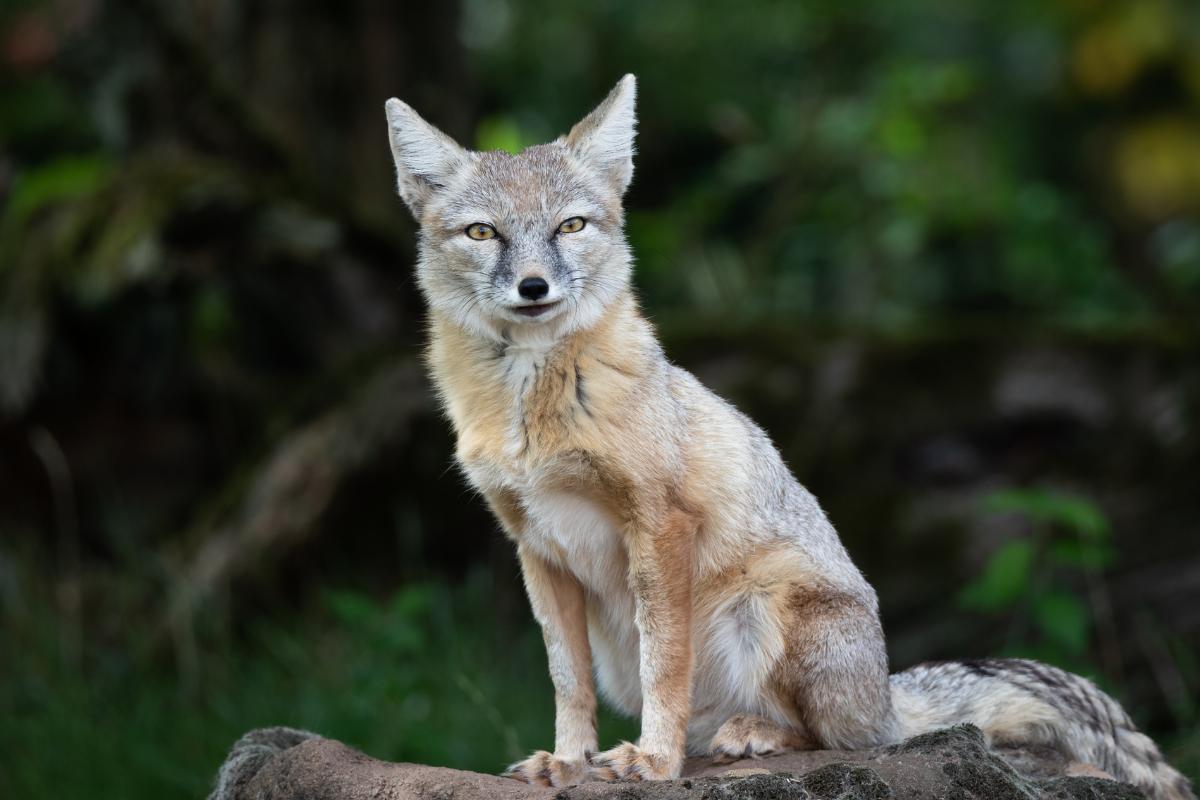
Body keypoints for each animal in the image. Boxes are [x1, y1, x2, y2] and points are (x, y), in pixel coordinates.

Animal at [382, 75, 1196, 800]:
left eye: (570, 227)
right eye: (484, 232)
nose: (533, 288)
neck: (532, 410)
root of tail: (887, 695)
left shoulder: (660, 523)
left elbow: (665, 665)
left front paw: (653, 761)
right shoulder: (535, 545)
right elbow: (565, 677)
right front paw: (570, 760)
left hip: (769, 604)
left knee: (834, 737)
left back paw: (752, 734)